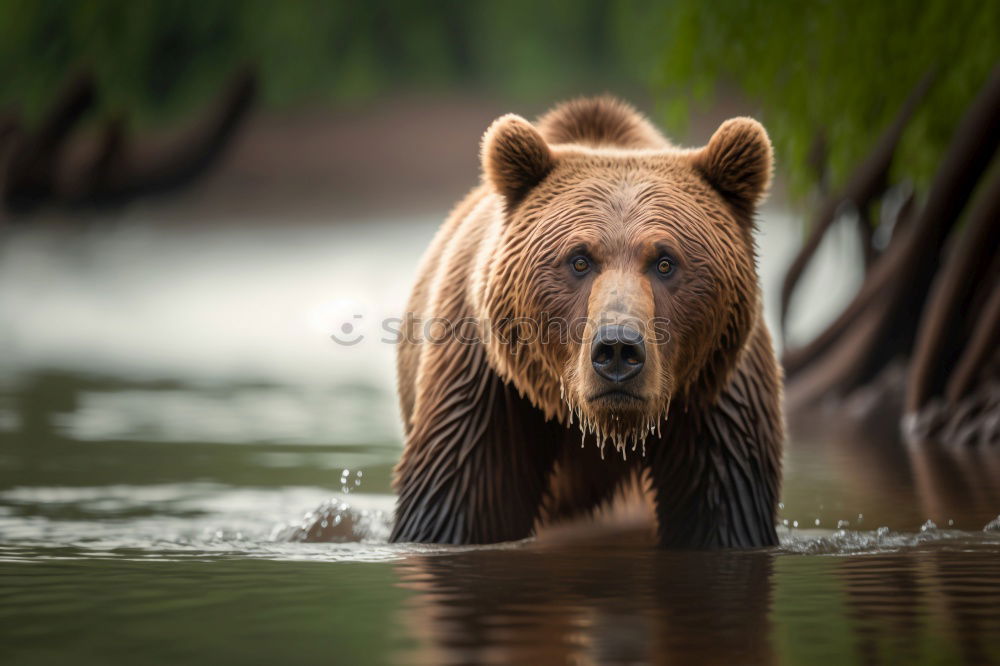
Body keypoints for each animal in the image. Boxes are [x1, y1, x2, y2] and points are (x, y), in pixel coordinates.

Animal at [388, 97, 780, 544]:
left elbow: (726, 511)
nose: (618, 349)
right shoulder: (489, 386)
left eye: (665, 262)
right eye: (579, 260)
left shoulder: (713, 394)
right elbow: (457, 503)